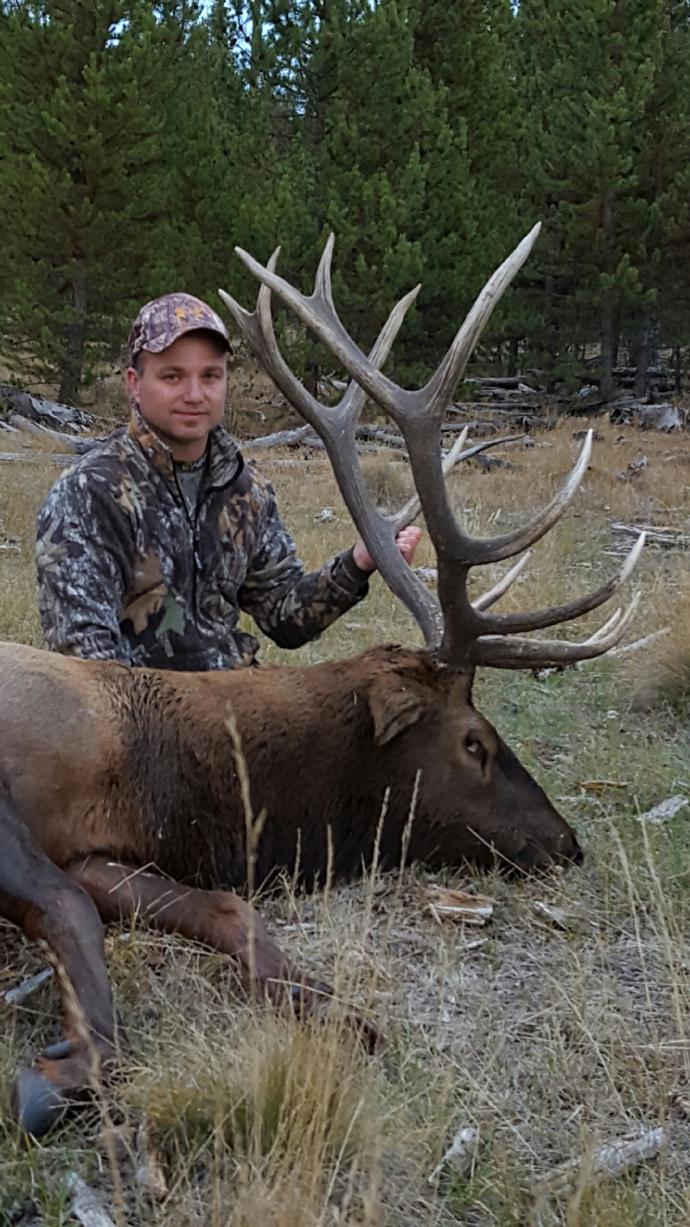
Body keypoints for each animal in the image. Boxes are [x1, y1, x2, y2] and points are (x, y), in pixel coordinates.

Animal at [0, 224, 644, 1138]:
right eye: (476, 742)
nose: (566, 841)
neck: (171, 779)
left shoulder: (106, 850)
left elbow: (224, 909)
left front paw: (338, 1009)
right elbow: (75, 912)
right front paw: (62, 1070)